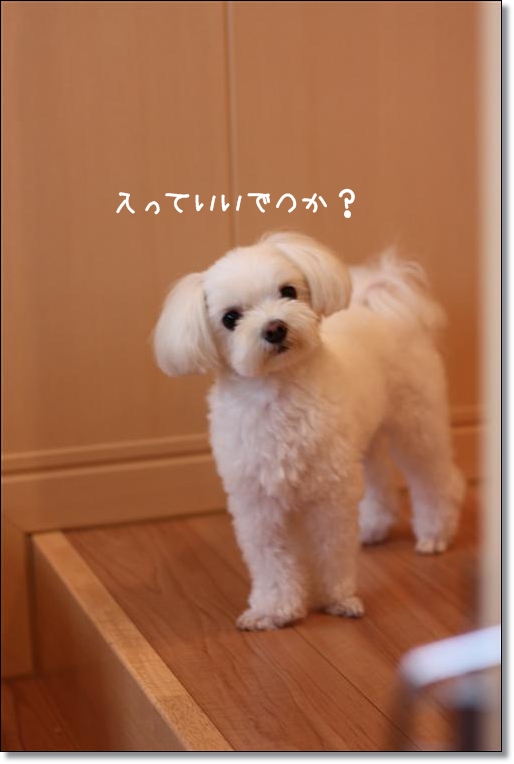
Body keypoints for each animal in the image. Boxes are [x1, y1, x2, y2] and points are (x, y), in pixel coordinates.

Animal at [153, 232, 465, 631]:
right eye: (230, 318)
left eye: (288, 291)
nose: (274, 328)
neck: (278, 396)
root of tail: (377, 298)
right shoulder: (257, 506)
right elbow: (271, 562)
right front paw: (275, 610)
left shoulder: (329, 496)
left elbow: (332, 550)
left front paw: (338, 598)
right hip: (364, 440)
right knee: (379, 479)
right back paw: (374, 527)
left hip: (416, 423)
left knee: (434, 480)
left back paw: (434, 534)